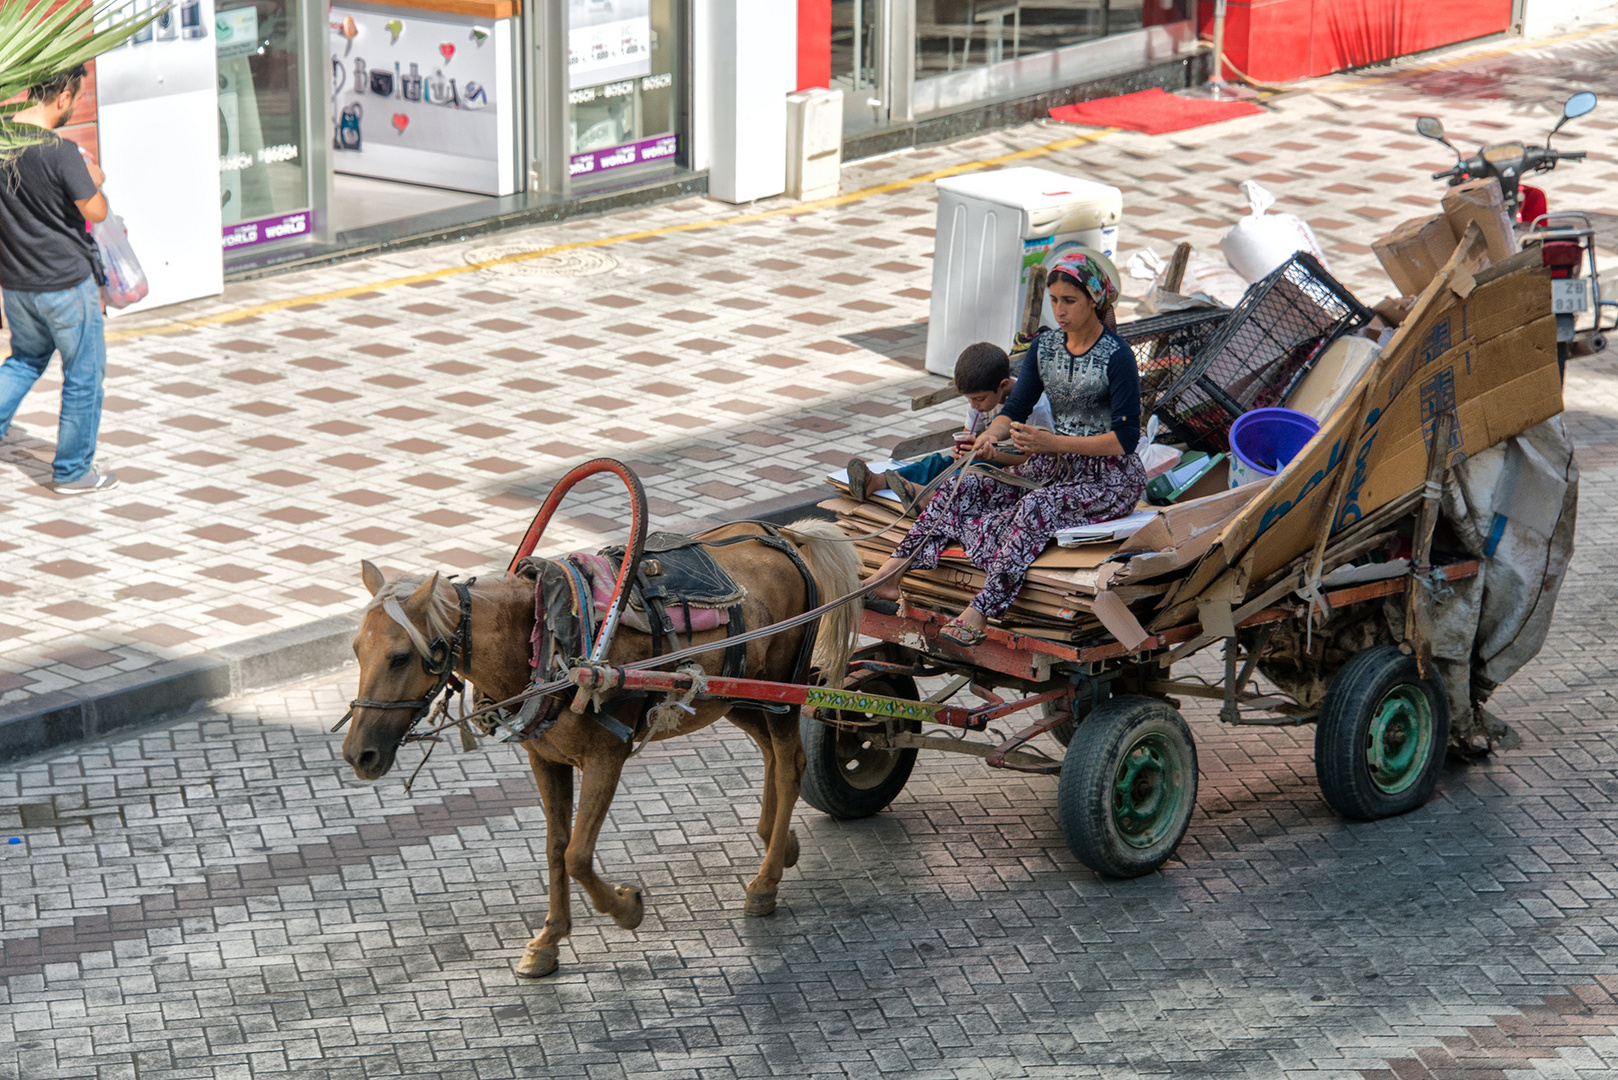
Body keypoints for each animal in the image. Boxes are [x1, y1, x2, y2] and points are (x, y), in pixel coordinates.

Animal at [331, 521, 860, 977]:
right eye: (356, 649)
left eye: (401, 656)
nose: (359, 755)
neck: (547, 642)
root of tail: (784, 537)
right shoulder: (545, 759)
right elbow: (554, 848)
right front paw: (548, 941)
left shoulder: (606, 757)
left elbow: (578, 856)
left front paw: (626, 909)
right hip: (736, 696)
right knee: (770, 753)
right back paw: (779, 841)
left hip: (783, 689)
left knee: (790, 763)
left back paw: (766, 882)